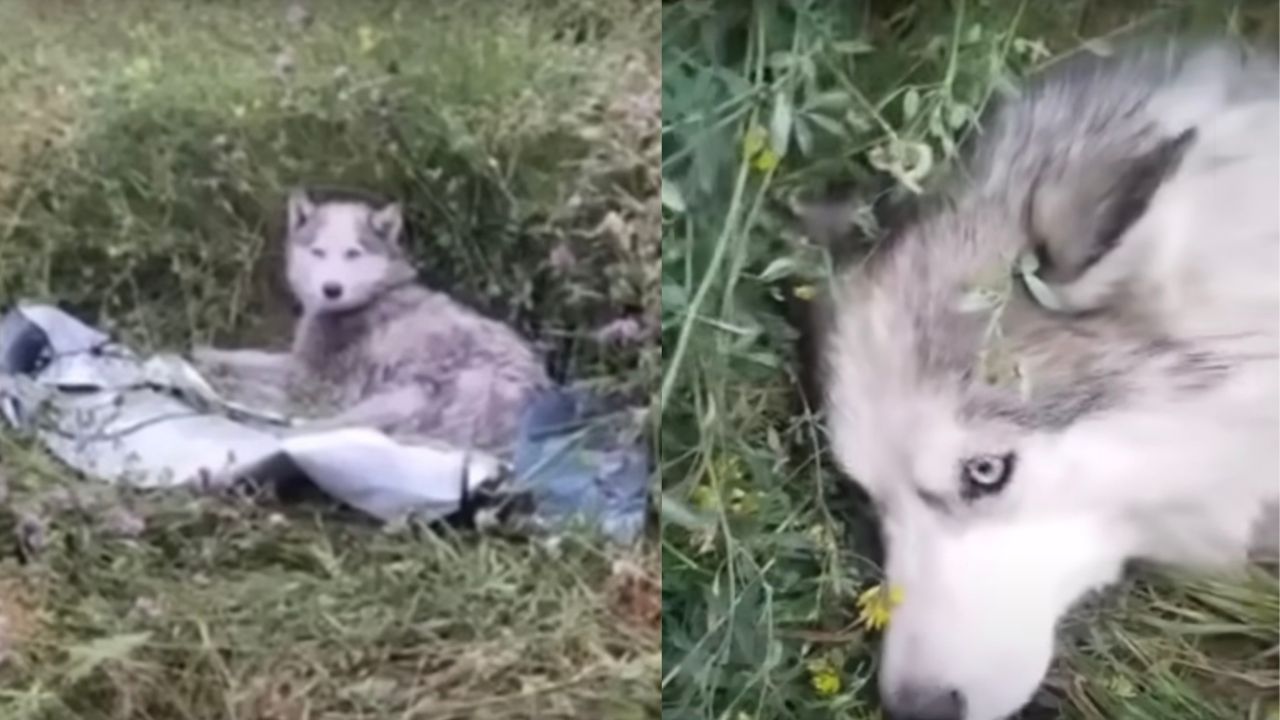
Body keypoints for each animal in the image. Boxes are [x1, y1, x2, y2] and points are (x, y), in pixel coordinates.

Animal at [194, 188, 550, 450]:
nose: (332, 289)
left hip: (393, 400)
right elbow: (241, 357)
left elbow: (253, 376)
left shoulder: (316, 384)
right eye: (318, 252)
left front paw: (215, 378)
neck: (372, 295)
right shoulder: (300, 363)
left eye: (353, 253)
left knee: (305, 428)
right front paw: (200, 354)